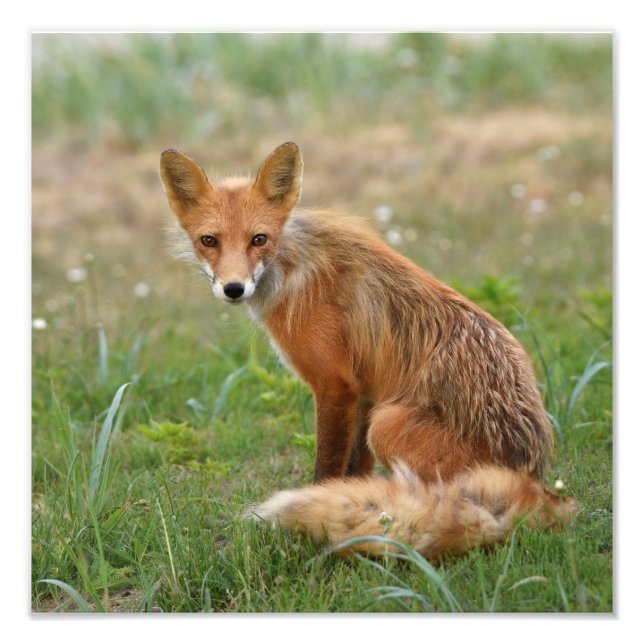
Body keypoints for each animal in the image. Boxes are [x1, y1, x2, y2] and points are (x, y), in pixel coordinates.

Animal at [159, 141, 577, 560]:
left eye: (258, 239)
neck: (290, 266)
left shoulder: (336, 385)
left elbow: (326, 471)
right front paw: (348, 510)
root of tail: (530, 478)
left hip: (388, 425)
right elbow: (354, 473)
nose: (233, 288)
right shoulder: (365, 393)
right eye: (209, 240)